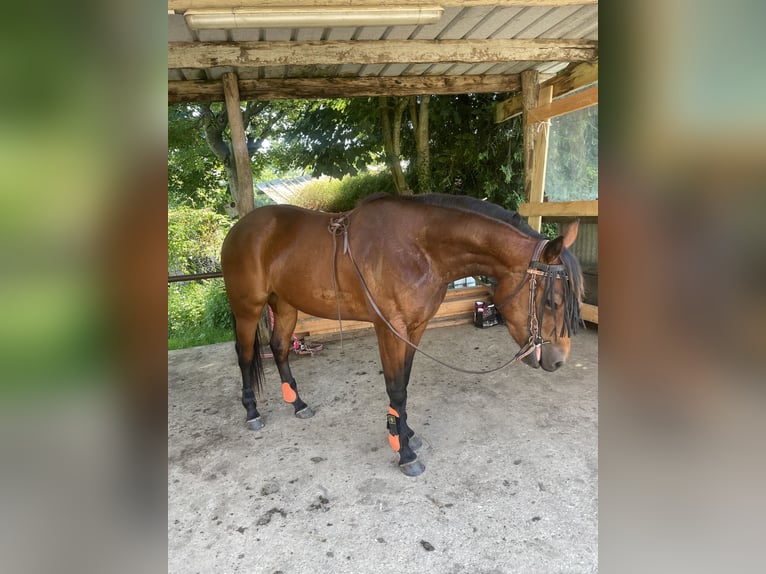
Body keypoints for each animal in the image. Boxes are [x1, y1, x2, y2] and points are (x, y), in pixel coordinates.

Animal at [219, 194, 584, 476]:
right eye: (551, 302)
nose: (558, 360)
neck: (420, 248)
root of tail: (240, 228)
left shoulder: (415, 327)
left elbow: (404, 384)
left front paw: (405, 432)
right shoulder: (390, 328)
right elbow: (395, 388)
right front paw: (404, 451)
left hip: (284, 305)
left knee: (279, 347)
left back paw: (297, 403)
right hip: (248, 308)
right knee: (245, 354)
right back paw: (252, 412)